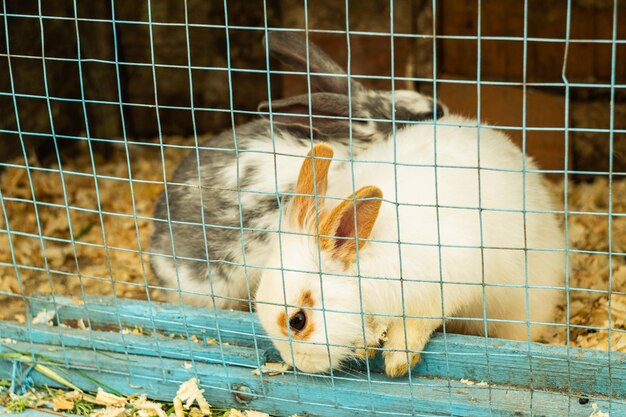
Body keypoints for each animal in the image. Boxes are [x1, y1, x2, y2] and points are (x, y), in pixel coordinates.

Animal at [251, 115, 564, 376]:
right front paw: (366, 346)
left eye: (298, 321)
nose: (298, 364)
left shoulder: (442, 284)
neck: (367, 264)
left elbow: (417, 323)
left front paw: (398, 358)